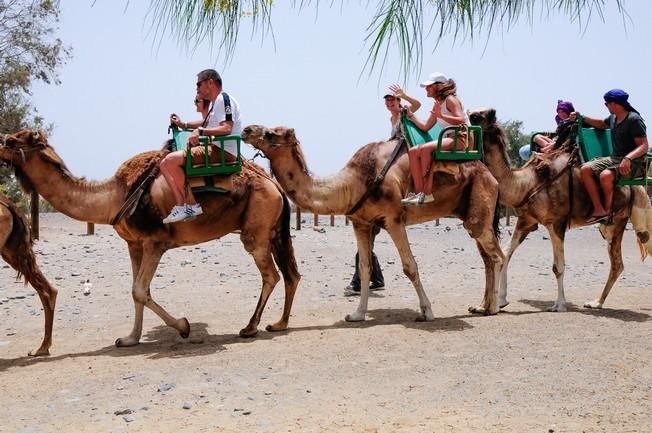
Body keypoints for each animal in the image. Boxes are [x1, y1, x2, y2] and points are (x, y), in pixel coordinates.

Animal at [239, 124, 504, 320]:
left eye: (272, 133)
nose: (247, 130)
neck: (352, 183)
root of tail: (490, 175)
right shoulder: (361, 223)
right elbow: (364, 268)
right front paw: (357, 314)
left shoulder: (394, 219)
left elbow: (410, 266)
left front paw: (427, 312)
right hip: (470, 213)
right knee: (488, 258)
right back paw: (481, 305)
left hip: (478, 209)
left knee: (497, 256)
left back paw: (495, 306)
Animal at [468, 108, 652, 310]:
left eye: (482, 116)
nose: (470, 114)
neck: (527, 183)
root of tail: (635, 187)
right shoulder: (526, 220)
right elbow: (506, 253)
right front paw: (501, 300)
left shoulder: (556, 223)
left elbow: (558, 266)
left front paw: (559, 304)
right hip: (609, 225)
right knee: (618, 264)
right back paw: (596, 302)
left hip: (619, 220)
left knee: (619, 261)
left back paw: (596, 302)